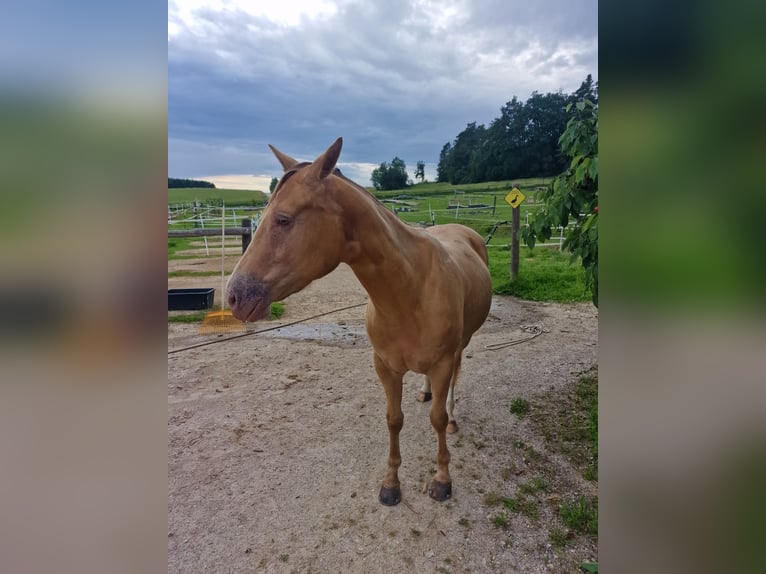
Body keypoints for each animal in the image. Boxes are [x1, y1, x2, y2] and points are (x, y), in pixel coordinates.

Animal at [225, 140, 496, 508]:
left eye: (283, 219)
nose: (234, 296)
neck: (410, 292)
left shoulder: (440, 362)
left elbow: (437, 419)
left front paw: (442, 479)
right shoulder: (385, 367)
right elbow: (394, 421)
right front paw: (391, 484)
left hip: (460, 345)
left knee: (455, 377)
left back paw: (453, 416)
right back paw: (425, 392)